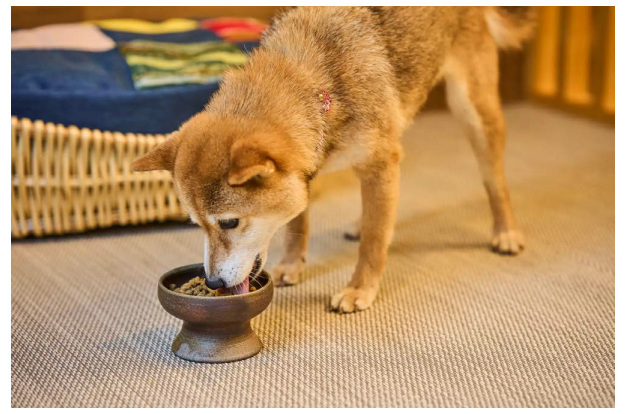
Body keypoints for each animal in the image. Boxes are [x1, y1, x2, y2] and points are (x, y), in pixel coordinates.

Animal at [130, 6, 532, 312]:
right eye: (196, 224)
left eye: (229, 223)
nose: (212, 281)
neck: (315, 84)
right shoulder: (307, 170)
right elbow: (298, 224)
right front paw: (292, 263)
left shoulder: (379, 163)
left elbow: (374, 243)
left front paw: (360, 288)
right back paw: (360, 221)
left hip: (473, 112)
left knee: (495, 182)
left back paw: (506, 231)